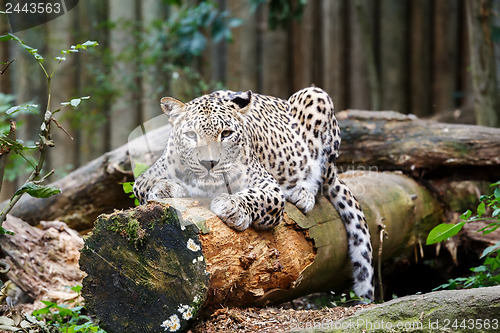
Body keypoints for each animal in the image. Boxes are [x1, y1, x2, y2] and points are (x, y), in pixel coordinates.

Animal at [135, 87, 374, 300]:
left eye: (226, 134)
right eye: (191, 135)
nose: (209, 163)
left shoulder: (269, 188)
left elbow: (257, 197)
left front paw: (231, 206)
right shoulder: (144, 178)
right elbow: (148, 186)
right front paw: (165, 189)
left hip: (316, 98)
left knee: (320, 176)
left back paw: (302, 193)